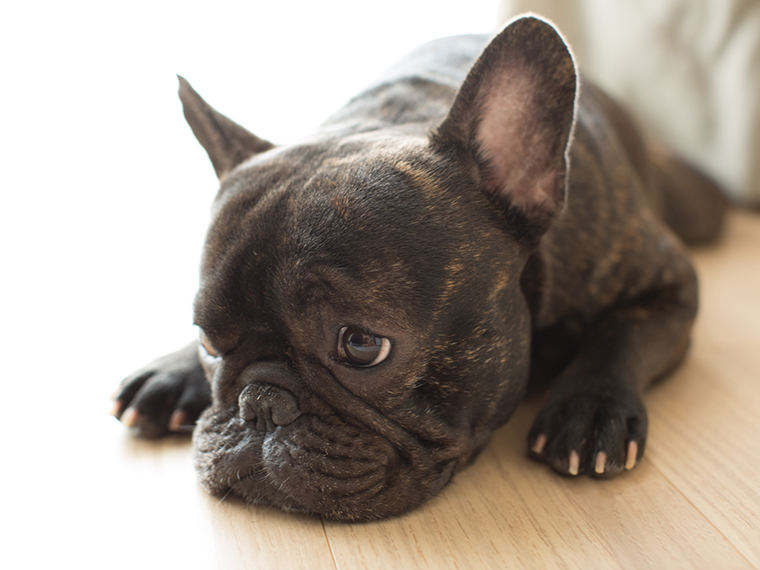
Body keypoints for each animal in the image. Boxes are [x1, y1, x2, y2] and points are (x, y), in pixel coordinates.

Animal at [111, 15, 724, 520]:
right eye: (207, 343)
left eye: (362, 346)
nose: (258, 406)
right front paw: (176, 369)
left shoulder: (672, 283)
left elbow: (624, 332)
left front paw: (592, 408)